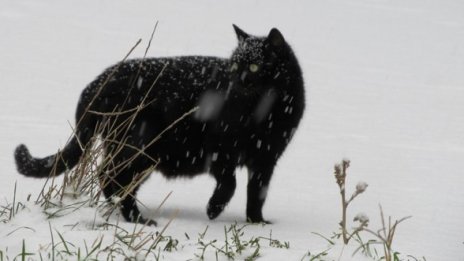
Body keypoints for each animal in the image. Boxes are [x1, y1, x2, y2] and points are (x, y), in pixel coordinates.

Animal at [13, 24, 304, 224]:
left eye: (254, 67)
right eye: (234, 65)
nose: (236, 79)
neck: (264, 115)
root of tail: (96, 83)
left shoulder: (265, 160)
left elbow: (257, 193)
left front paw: (256, 222)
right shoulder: (220, 150)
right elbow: (229, 183)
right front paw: (213, 209)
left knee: (111, 179)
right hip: (140, 146)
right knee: (112, 177)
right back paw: (138, 220)